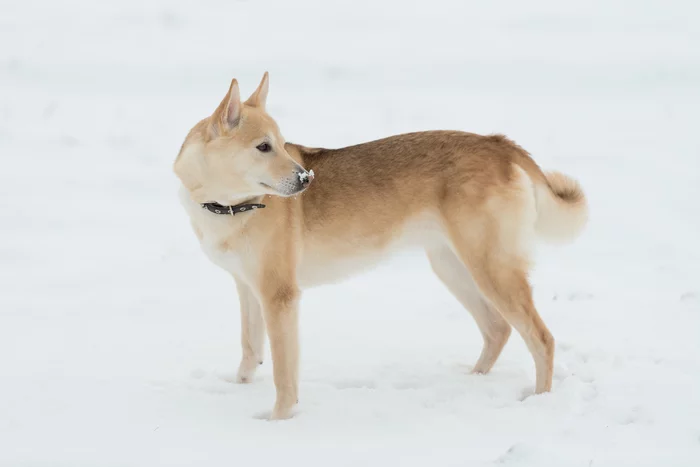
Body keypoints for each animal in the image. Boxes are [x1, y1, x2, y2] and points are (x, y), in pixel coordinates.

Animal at [172, 72, 588, 420]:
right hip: (452, 267)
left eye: (280, 145)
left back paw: (539, 403)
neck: (229, 205)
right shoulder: (248, 288)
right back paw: (472, 383)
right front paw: (241, 392)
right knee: (498, 329)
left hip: (490, 269)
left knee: (542, 339)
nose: (307, 179)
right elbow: (250, 350)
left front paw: (278, 421)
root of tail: (497, 143)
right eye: (262, 146)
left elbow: (283, 373)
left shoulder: (279, 297)